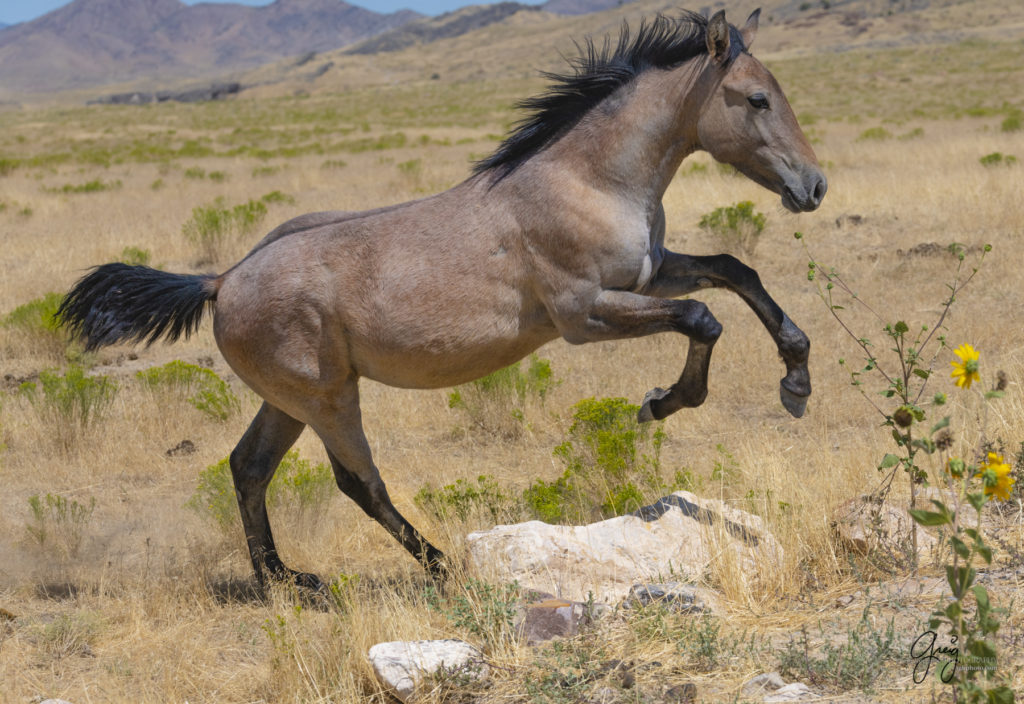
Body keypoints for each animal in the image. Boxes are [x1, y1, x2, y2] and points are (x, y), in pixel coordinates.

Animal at [56, 8, 827, 589]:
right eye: (756, 99)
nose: (813, 186)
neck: (588, 179)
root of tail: (222, 281)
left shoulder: (650, 274)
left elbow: (735, 272)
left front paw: (795, 379)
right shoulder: (585, 312)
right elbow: (704, 317)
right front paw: (664, 402)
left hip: (289, 401)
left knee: (247, 468)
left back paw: (286, 581)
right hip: (327, 399)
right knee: (358, 482)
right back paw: (442, 566)